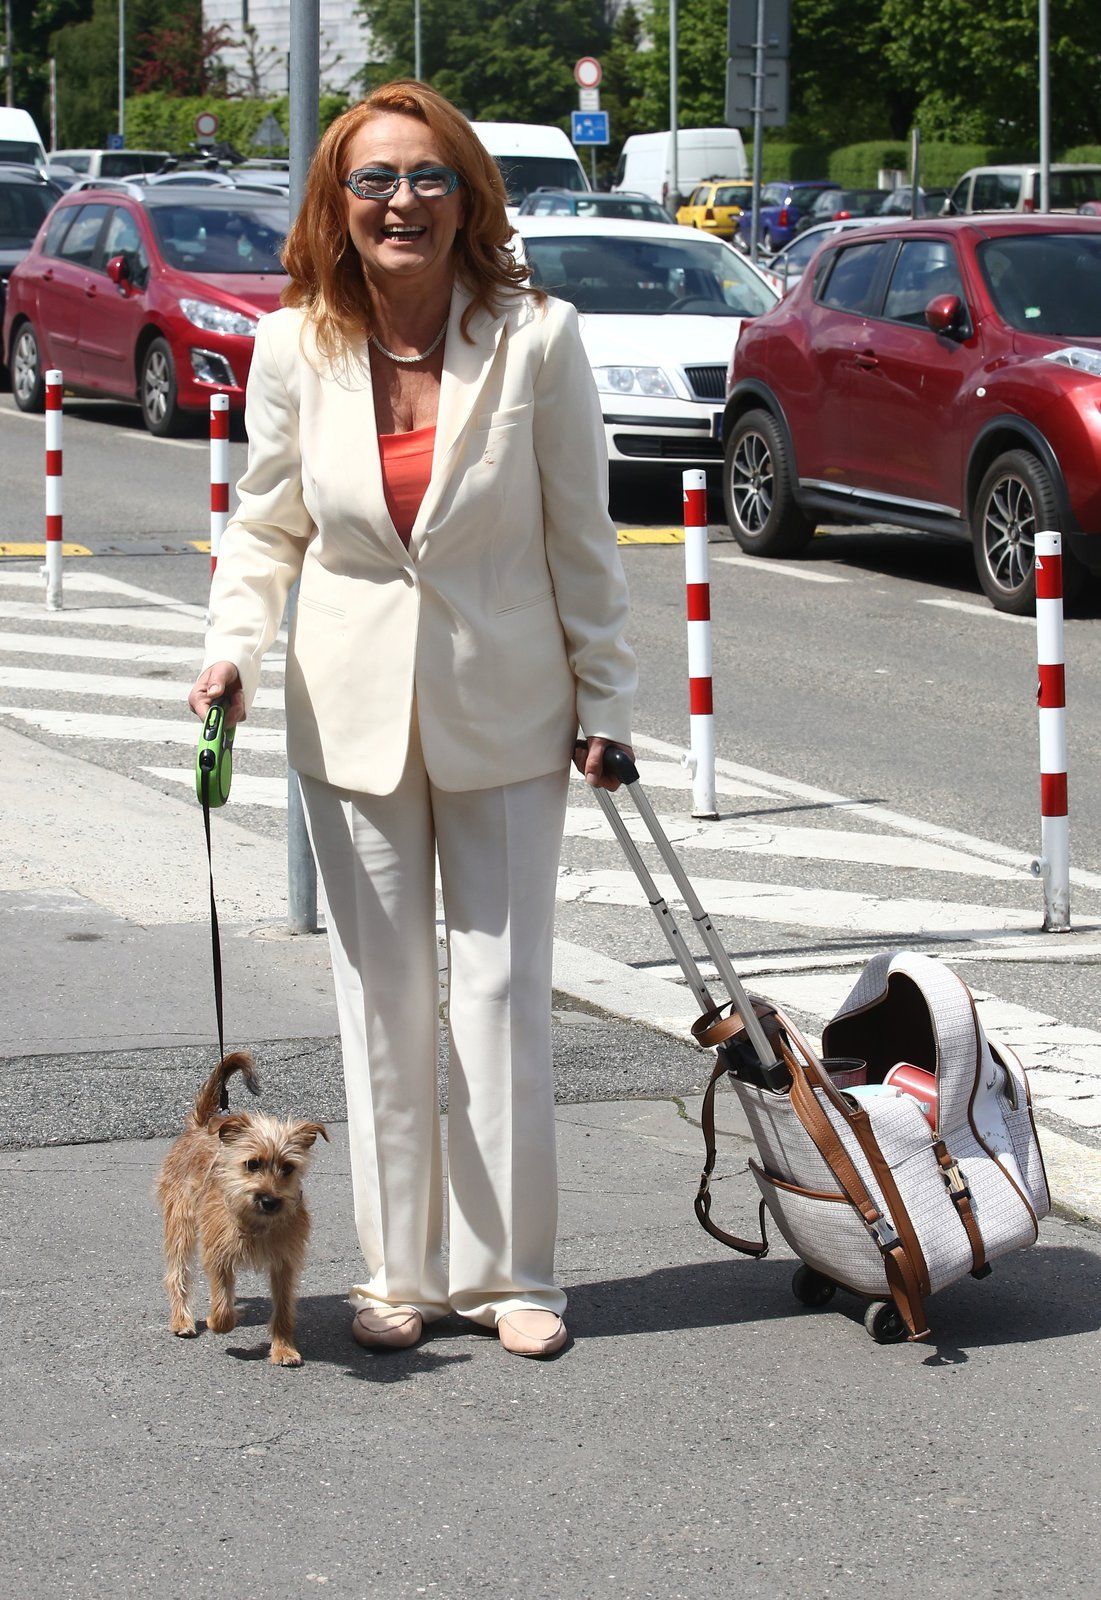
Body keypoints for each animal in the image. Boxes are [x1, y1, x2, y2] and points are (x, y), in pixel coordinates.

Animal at [156, 1049, 326, 1376]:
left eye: (288, 1168)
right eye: (252, 1164)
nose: (270, 1200)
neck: (257, 1223)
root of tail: (201, 1127)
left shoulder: (285, 1263)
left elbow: (283, 1308)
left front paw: (283, 1348)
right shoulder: (218, 1256)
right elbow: (223, 1304)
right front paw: (217, 1321)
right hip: (181, 1224)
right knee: (177, 1273)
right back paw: (182, 1319)